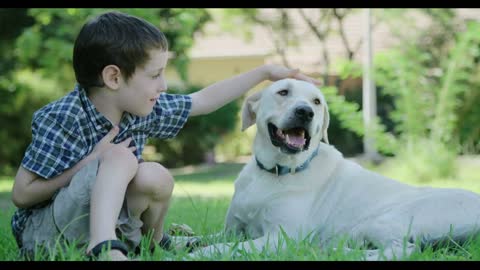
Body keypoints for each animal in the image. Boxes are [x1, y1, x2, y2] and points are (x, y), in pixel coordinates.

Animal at [189, 77, 480, 260]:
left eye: (317, 102)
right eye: (283, 92)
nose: (305, 112)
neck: (274, 171)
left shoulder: (279, 238)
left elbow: (225, 247)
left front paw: (200, 254)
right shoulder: (232, 229)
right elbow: (206, 237)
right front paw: (185, 241)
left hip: (378, 221)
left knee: (403, 250)